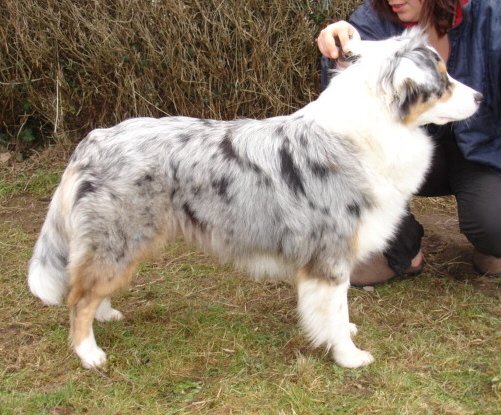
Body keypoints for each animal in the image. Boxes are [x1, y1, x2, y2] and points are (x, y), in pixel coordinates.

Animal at [27, 29, 480, 368]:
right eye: (443, 80)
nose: (480, 98)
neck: (370, 130)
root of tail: (93, 140)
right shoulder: (330, 254)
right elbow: (335, 309)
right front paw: (349, 356)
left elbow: (335, 310)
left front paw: (343, 337)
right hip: (119, 236)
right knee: (78, 298)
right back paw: (89, 353)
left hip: (121, 242)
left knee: (90, 287)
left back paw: (106, 315)